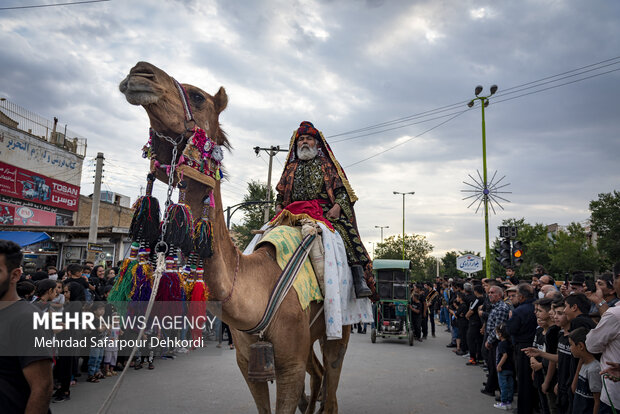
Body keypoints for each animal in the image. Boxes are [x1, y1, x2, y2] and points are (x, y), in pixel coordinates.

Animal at [118, 62, 352, 414]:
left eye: (198, 96)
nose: (140, 72)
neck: (258, 287)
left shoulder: (290, 366)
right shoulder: (248, 363)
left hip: (340, 327)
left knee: (332, 382)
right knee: (319, 378)